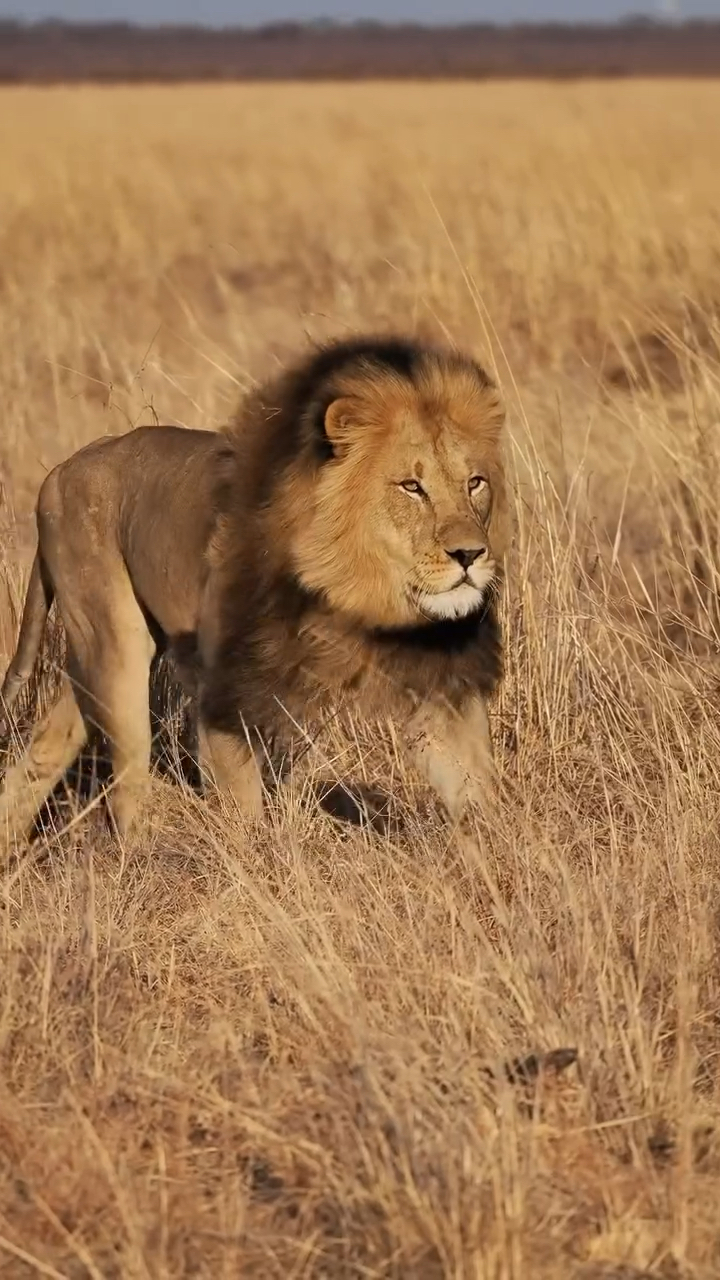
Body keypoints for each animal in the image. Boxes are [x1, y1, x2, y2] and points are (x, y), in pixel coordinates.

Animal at [0, 335, 504, 844]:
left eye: (474, 483)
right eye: (411, 487)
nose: (470, 554)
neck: (355, 599)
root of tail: (60, 471)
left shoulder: (441, 691)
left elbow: (474, 790)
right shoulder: (224, 695)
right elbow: (242, 813)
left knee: (47, 744)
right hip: (115, 647)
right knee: (126, 786)